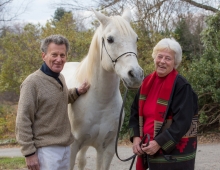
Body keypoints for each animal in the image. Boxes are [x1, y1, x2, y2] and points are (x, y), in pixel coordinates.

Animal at [62, 9, 144, 170]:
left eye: (136, 38)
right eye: (110, 39)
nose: (136, 75)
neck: (100, 101)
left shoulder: (107, 148)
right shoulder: (72, 147)